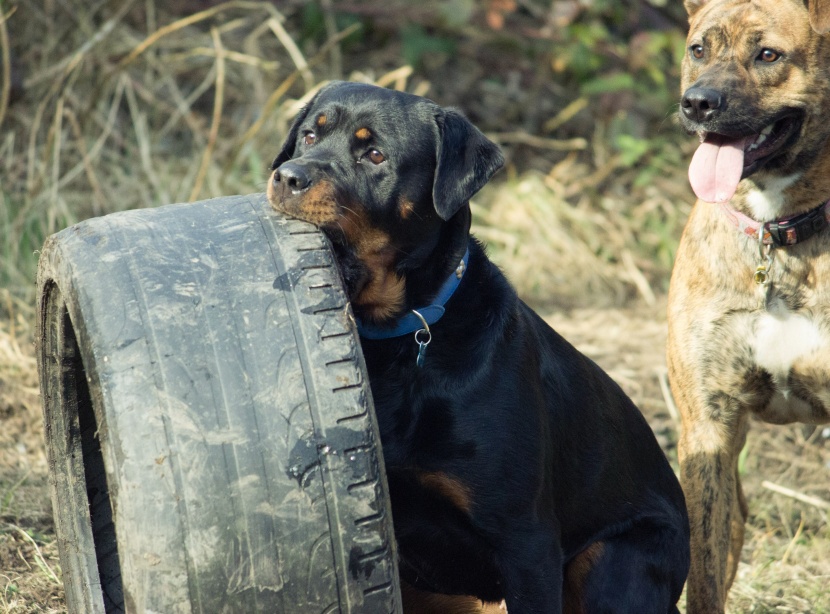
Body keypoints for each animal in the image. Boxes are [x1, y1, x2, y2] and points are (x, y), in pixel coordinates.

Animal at [266, 80, 688, 612]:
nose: (288, 177)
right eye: (308, 135)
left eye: (375, 156)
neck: (400, 341)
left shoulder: (526, 541)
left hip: (613, 558)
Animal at [668, 0, 830, 612]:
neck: (776, 232)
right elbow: (703, 576)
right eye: (698, 49)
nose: (698, 103)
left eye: (768, 55)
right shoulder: (708, 430)